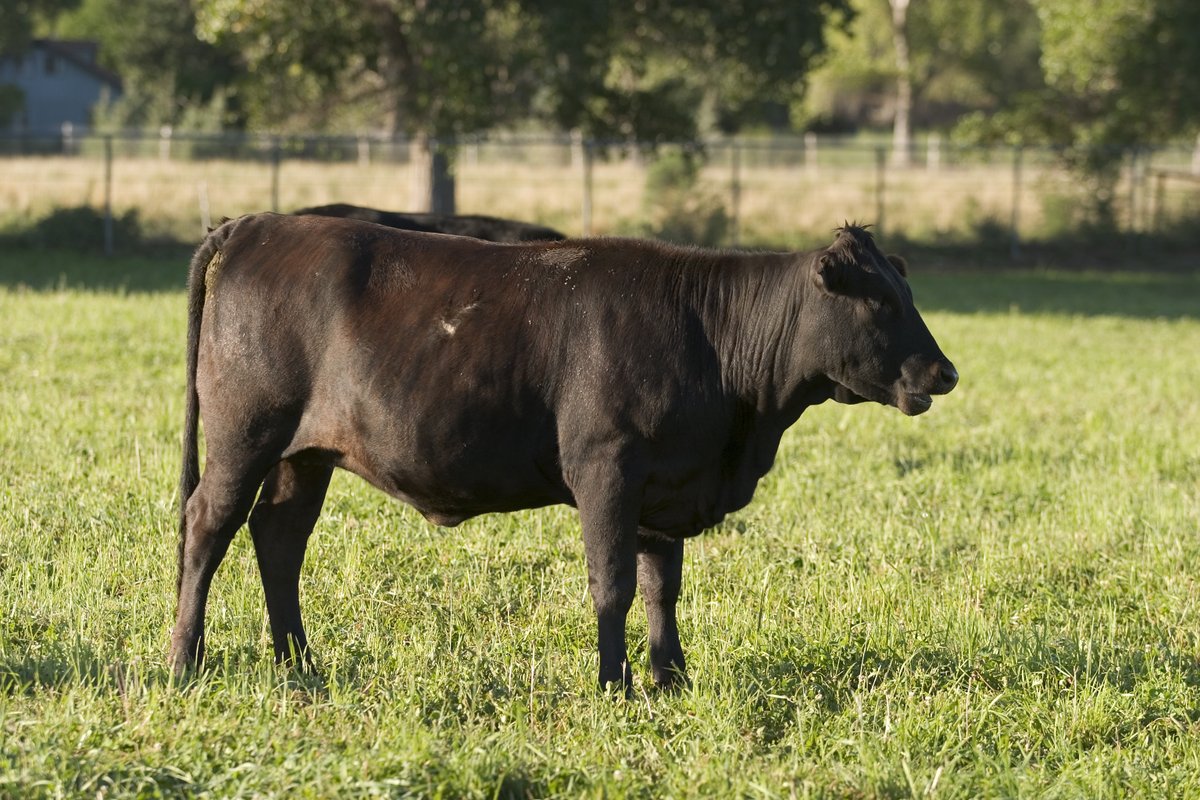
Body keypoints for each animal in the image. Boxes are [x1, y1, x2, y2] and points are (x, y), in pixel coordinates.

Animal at [170, 214, 958, 692]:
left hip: (304, 455)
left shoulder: (665, 485)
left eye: (907, 291)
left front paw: (671, 678)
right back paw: (184, 659)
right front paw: (616, 684)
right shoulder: (607, 467)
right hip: (245, 435)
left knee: (278, 538)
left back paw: (298, 662)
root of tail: (255, 224)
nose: (943, 372)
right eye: (879, 301)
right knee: (208, 526)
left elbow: (661, 585)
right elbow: (612, 583)